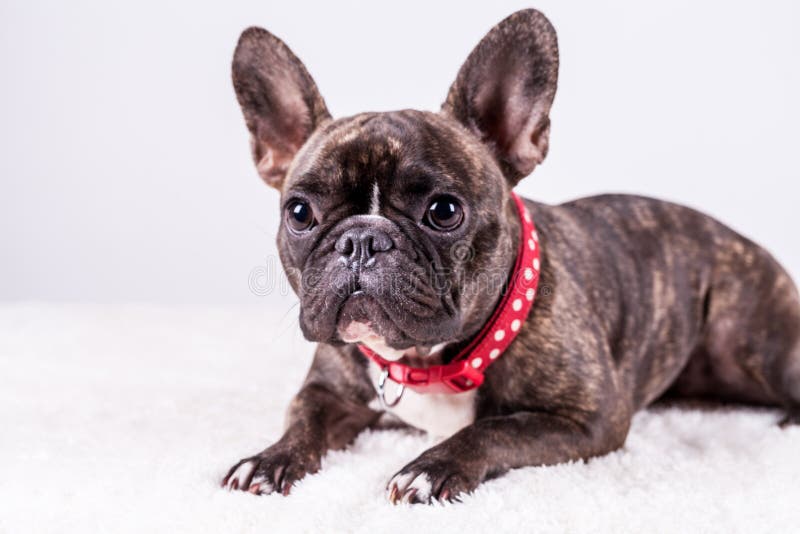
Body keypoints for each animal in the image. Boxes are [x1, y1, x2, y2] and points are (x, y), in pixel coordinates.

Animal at [220, 8, 800, 504]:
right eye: (299, 213)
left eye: (444, 210)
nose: (362, 239)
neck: (430, 363)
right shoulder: (329, 391)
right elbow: (301, 419)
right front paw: (269, 459)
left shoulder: (590, 417)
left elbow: (494, 428)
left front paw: (431, 468)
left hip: (747, 343)